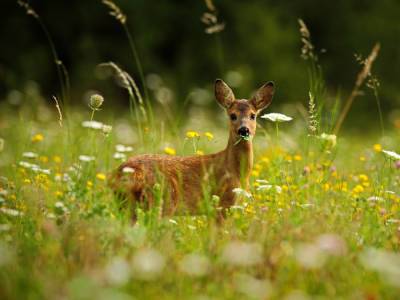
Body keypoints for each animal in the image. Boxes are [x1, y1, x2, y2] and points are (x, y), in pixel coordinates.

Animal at [110, 79, 276, 220]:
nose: (244, 130)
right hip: (162, 200)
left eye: (253, 115)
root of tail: (124, 172)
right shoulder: (222, 204)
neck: (237, 172)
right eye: (233, 115)